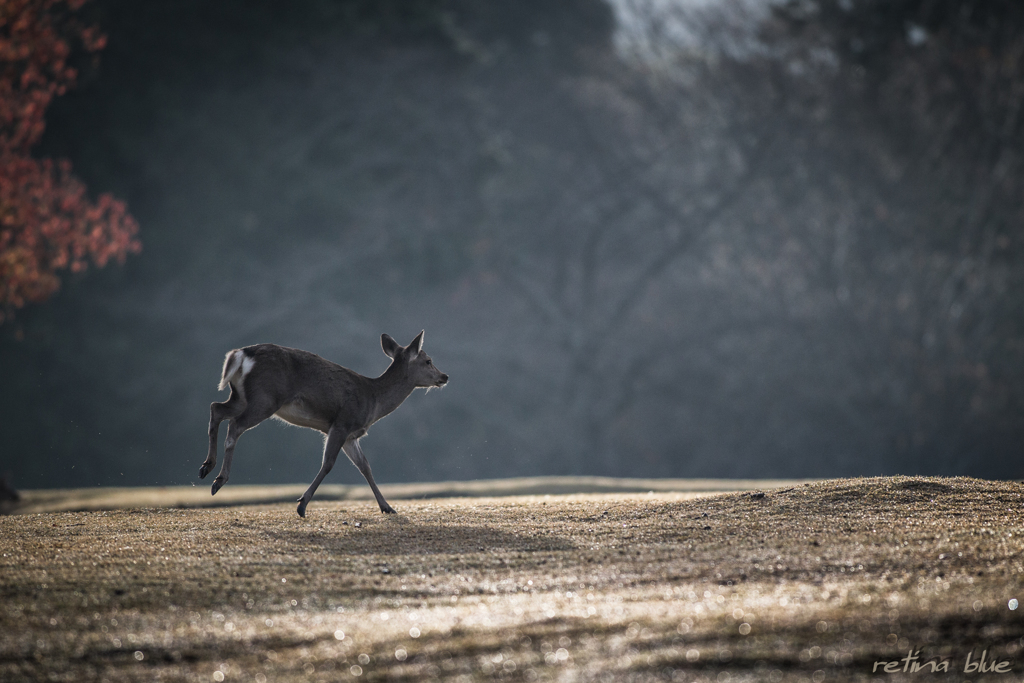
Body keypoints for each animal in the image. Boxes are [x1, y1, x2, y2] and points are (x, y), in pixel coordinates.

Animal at [199, 331, 448, 518]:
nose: (444, 377)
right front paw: (301, 504)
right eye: (428, 360)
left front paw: (387, 507)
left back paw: (206, 467)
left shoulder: (351, 436)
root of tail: (240, 354)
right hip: (265, 398)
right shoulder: (341, 423)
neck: (373, 400)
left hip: (242, 396)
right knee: (235, 425)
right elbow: (328, 463)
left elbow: (365, 466)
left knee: (216, 408)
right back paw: (219, 480)